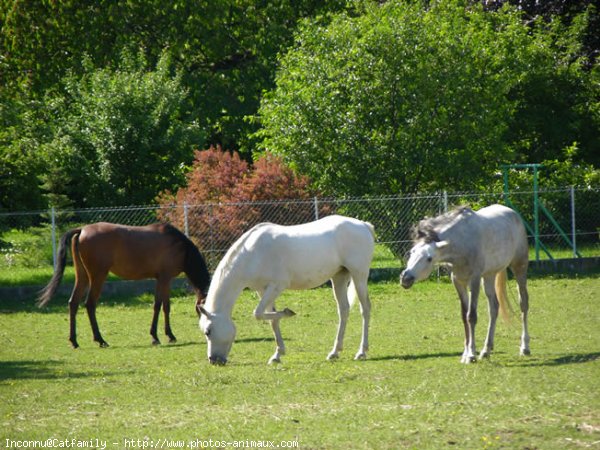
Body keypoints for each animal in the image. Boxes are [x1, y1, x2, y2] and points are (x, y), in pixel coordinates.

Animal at [36, 221, 211, 348]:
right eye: (202, 310)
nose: (206, 330)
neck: (181, 247)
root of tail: (82, 230)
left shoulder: (163, 280)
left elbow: (165, 306)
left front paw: (169, 335)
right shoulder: (164, 278)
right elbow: (159, 305)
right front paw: (155, 336)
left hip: (82, 275)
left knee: (73, 303)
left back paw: (74, 341)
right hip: (98, 276)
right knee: (90, 304)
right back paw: (100, 339)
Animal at [199, 214, 372, 366]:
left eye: (208, 331)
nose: (213, 360)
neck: (253, 252)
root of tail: (364, 225)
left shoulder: (276, 286)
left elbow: (258, 314)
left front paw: (288, 312)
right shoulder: (263, 290)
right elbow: (271, 319)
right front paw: (277, 355)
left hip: (359, 275)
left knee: (365, 309)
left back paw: (361, 352)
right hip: (339, 277)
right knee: (343, 310)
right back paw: (334, 352)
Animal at [398, 206, 528, 364]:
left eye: (429, 258)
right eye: (412, 252)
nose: (405, 278)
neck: (461, 243)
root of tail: (513, 213)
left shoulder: (474, 280)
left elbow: (471, 316)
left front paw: (471, 355)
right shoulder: (458, 281)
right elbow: (464, 316)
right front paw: (466, 353)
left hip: (519, 267)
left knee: (523, 304)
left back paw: (525, 347)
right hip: (489, 276)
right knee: (494, 308)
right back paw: (486, 350)